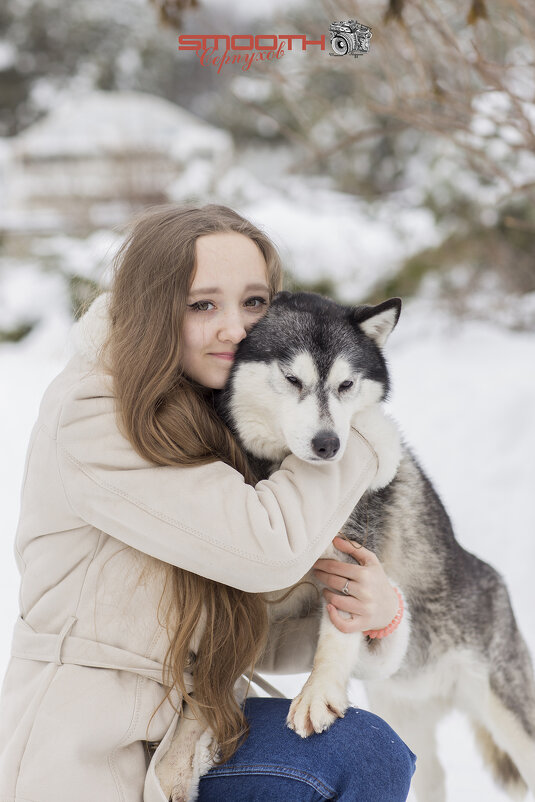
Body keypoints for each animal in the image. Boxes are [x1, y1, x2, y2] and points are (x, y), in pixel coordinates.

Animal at [161, 292, 535, 800]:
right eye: (293, 379)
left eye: (346, 384)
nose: (329, 445)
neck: (278, 472)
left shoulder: (351, 555)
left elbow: (337, 631)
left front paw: (319, 691)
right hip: (406, 717)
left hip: (506, 709)